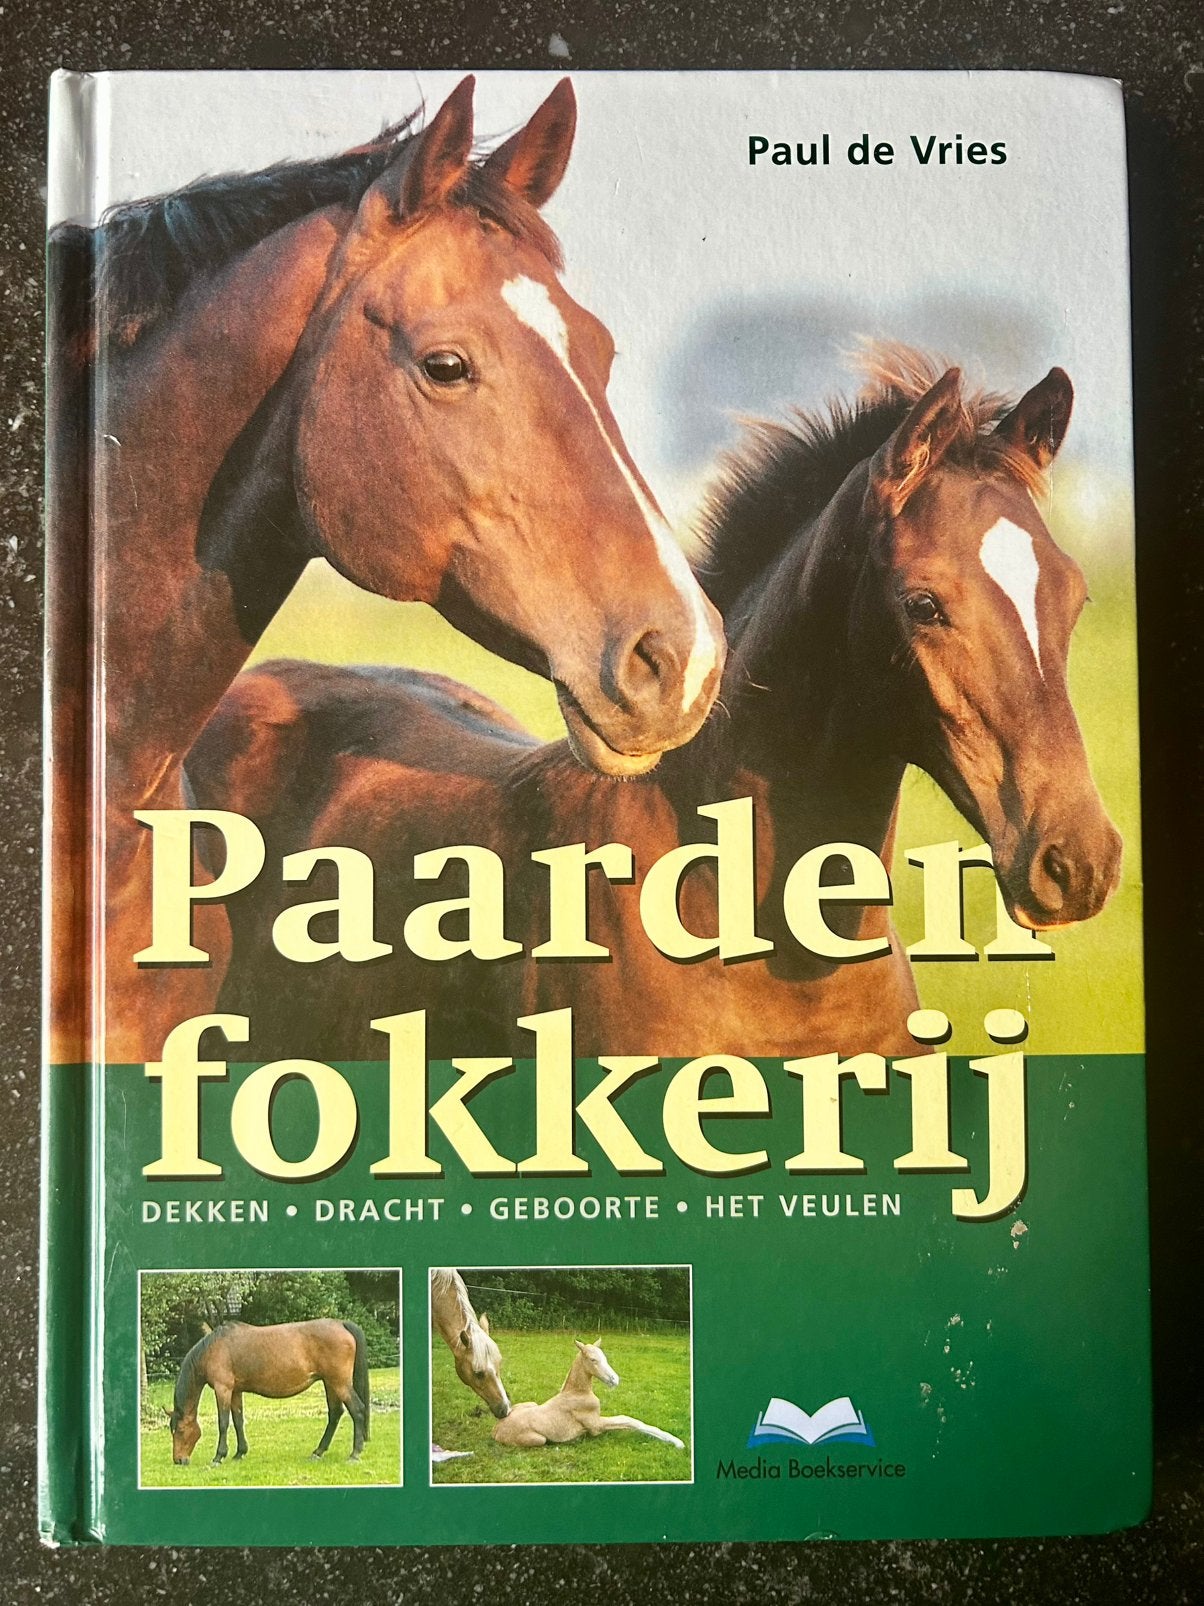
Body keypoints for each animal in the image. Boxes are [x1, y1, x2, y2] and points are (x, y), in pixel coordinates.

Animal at [164, 1318, 369, 1465]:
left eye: (179, 1431)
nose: (178, 1460)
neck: (213, 1349)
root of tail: (341, 1324)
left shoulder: (223, 1389)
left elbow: (223, 1423)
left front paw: (218, 1457)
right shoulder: (235, 1391)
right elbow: (238, 1421)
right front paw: (239, 1453)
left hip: (339, 1383)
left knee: (358, 1411)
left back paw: (354, 1454)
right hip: (330, 1383)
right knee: (335, 1414)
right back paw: (318, 1452)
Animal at [492, 1339, 685, 1450]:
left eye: (605, 1357)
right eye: (593, 1360)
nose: (615, 1380)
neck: (577, 1393)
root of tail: (495, 1430)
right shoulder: (596, 1425)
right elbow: (630, 1420)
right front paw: (677, 1442)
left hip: (530, 1403)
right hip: (538, 1439)